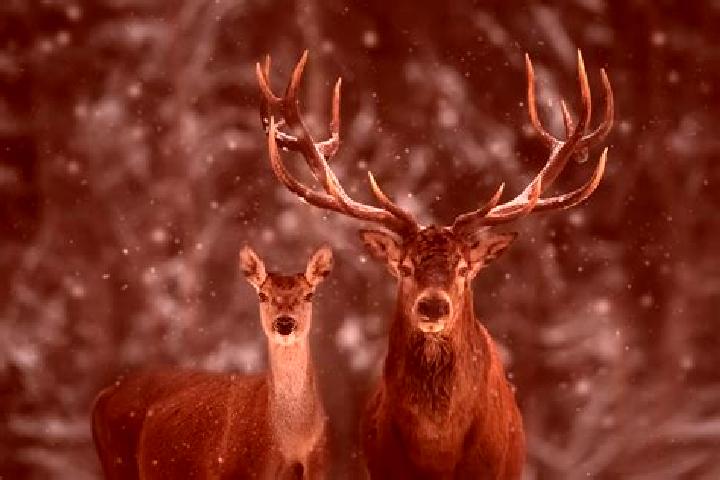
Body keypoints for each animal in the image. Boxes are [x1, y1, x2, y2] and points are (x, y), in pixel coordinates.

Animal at [91, 244, 334, 479]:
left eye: (309, 295)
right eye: (262, 295)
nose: (284, 323)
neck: (291, 441)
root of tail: (105, 394)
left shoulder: (319, 469)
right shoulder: (237, 471)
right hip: (119, 463)